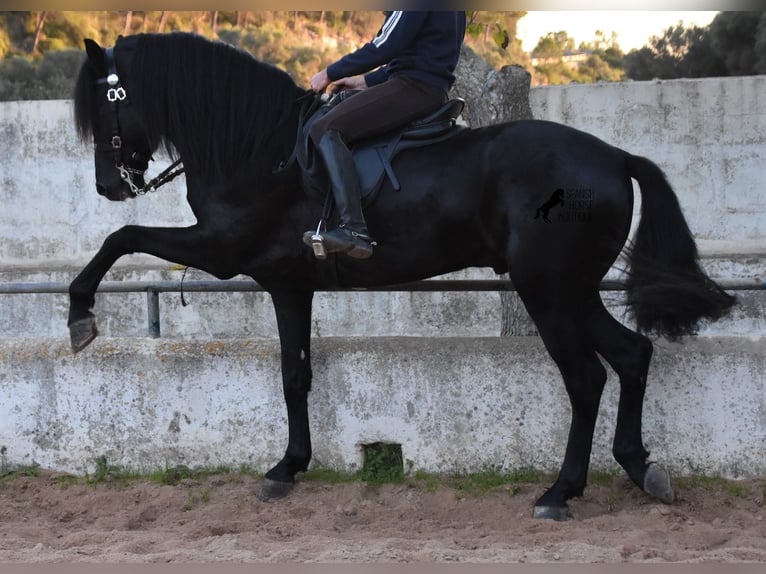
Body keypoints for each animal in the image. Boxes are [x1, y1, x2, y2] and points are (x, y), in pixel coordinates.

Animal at [70, 35, 736, 520]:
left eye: (108, 101)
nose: (106, 186)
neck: (259, 147)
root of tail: (616, 157)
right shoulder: (288, 283)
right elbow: (294, 376)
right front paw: (288, 467)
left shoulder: (222, 249)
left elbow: (121, 238)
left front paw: (80, 315)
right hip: (570, 291)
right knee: (631, 355)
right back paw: (641, 469)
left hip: (548, 290)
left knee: (586, 378)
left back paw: (560, 492)